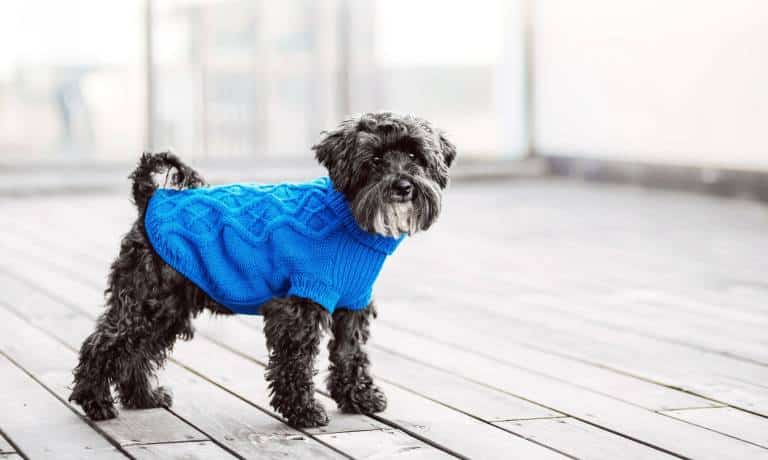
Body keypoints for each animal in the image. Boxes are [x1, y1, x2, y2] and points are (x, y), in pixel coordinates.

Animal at [67, 111, 456, 428]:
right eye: (374, 159)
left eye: (415, 156)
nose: (403, 186)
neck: (346, 216)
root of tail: (150, 197)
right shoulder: (299, 306)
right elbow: (296, 363)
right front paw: (304, 411)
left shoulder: (352, 305)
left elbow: (350, 355)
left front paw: (358, 398)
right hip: (146, 301)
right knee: (103, 345)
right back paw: (95, 402)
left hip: (168, 309)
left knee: (137, 351)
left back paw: (143, 397)